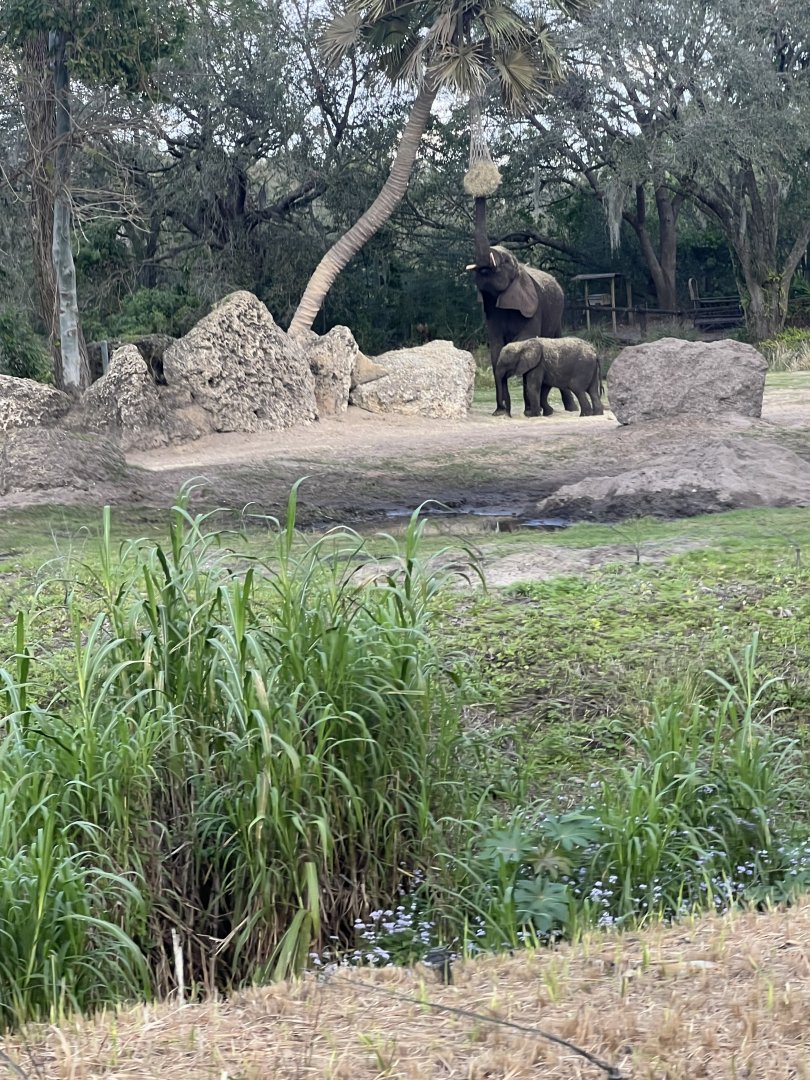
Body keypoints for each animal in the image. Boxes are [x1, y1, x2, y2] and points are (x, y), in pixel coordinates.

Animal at [465, 195, 577, 417]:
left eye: (507, 261)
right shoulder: (492, 311)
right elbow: (496, 348)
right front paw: (501, 413)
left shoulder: (534, 308)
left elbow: (524, 339)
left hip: (556, 316)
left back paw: (568, 409)